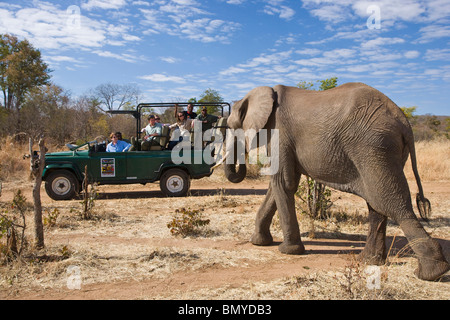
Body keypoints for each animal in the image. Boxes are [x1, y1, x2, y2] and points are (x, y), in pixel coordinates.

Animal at [225, 82, 450, 280]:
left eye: (230, 126)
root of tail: (405, 123)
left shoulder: (280, 133)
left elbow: (283, 183)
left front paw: (287, 251)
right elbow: (281, 185)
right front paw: (258, 242)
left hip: (373, 147)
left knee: (392, 204)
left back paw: (431, 273)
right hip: (381, 152)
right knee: (377, 204)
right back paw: (369, 261)